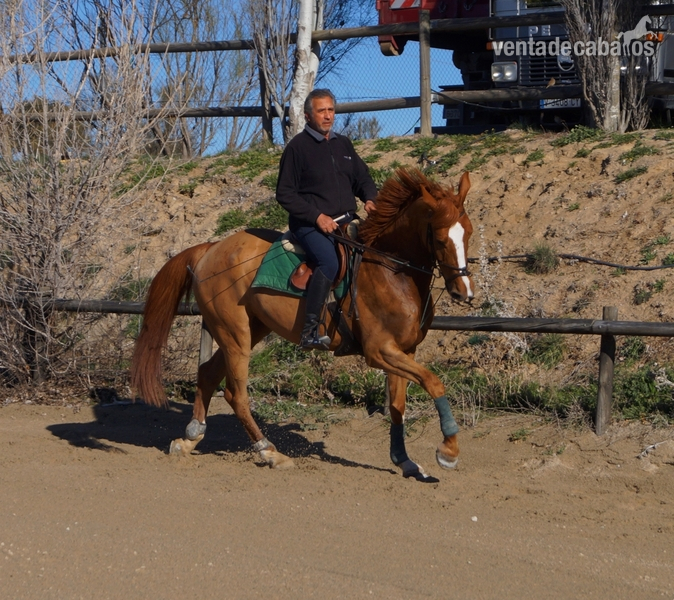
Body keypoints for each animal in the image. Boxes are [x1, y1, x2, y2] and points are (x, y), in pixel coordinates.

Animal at [130, 167, 474, 479]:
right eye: (440, 238)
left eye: (468, 233)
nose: (463, 292)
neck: (391, 271)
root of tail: (210, 249)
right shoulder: (380, 351)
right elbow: (434, 382)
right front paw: (449, 450)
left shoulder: (405, 351)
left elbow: (398, 407)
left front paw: (405, 461)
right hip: (234, 334)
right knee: (235, 394)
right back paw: (270, 453)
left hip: (251, 328)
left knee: (208, 373)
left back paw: (191, 438)